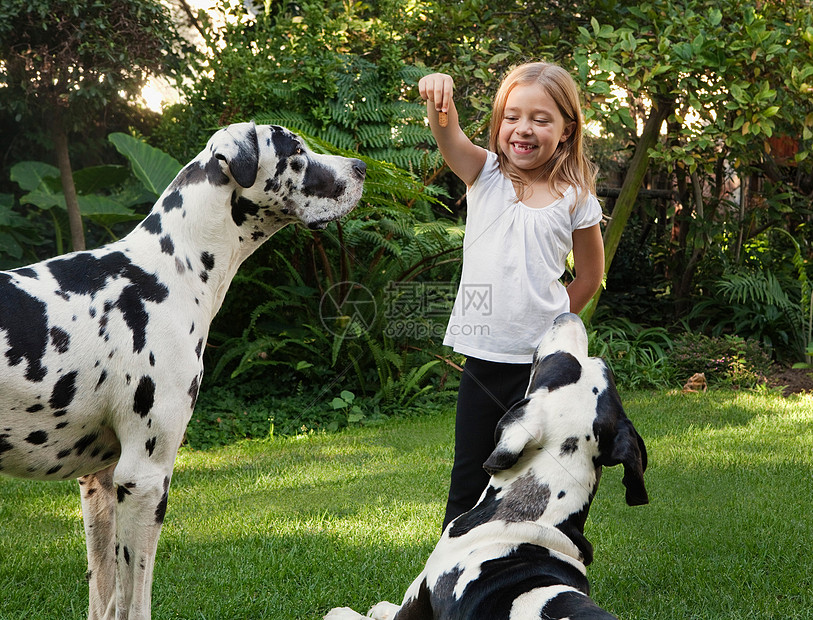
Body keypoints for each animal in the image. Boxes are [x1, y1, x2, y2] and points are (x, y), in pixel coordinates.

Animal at [0, 122, 364, 620]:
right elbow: (136, 602)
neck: (172, 266)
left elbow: (105, 599)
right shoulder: (144, 479)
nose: (362, 167)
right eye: (296, 151)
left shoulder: (101, 484)